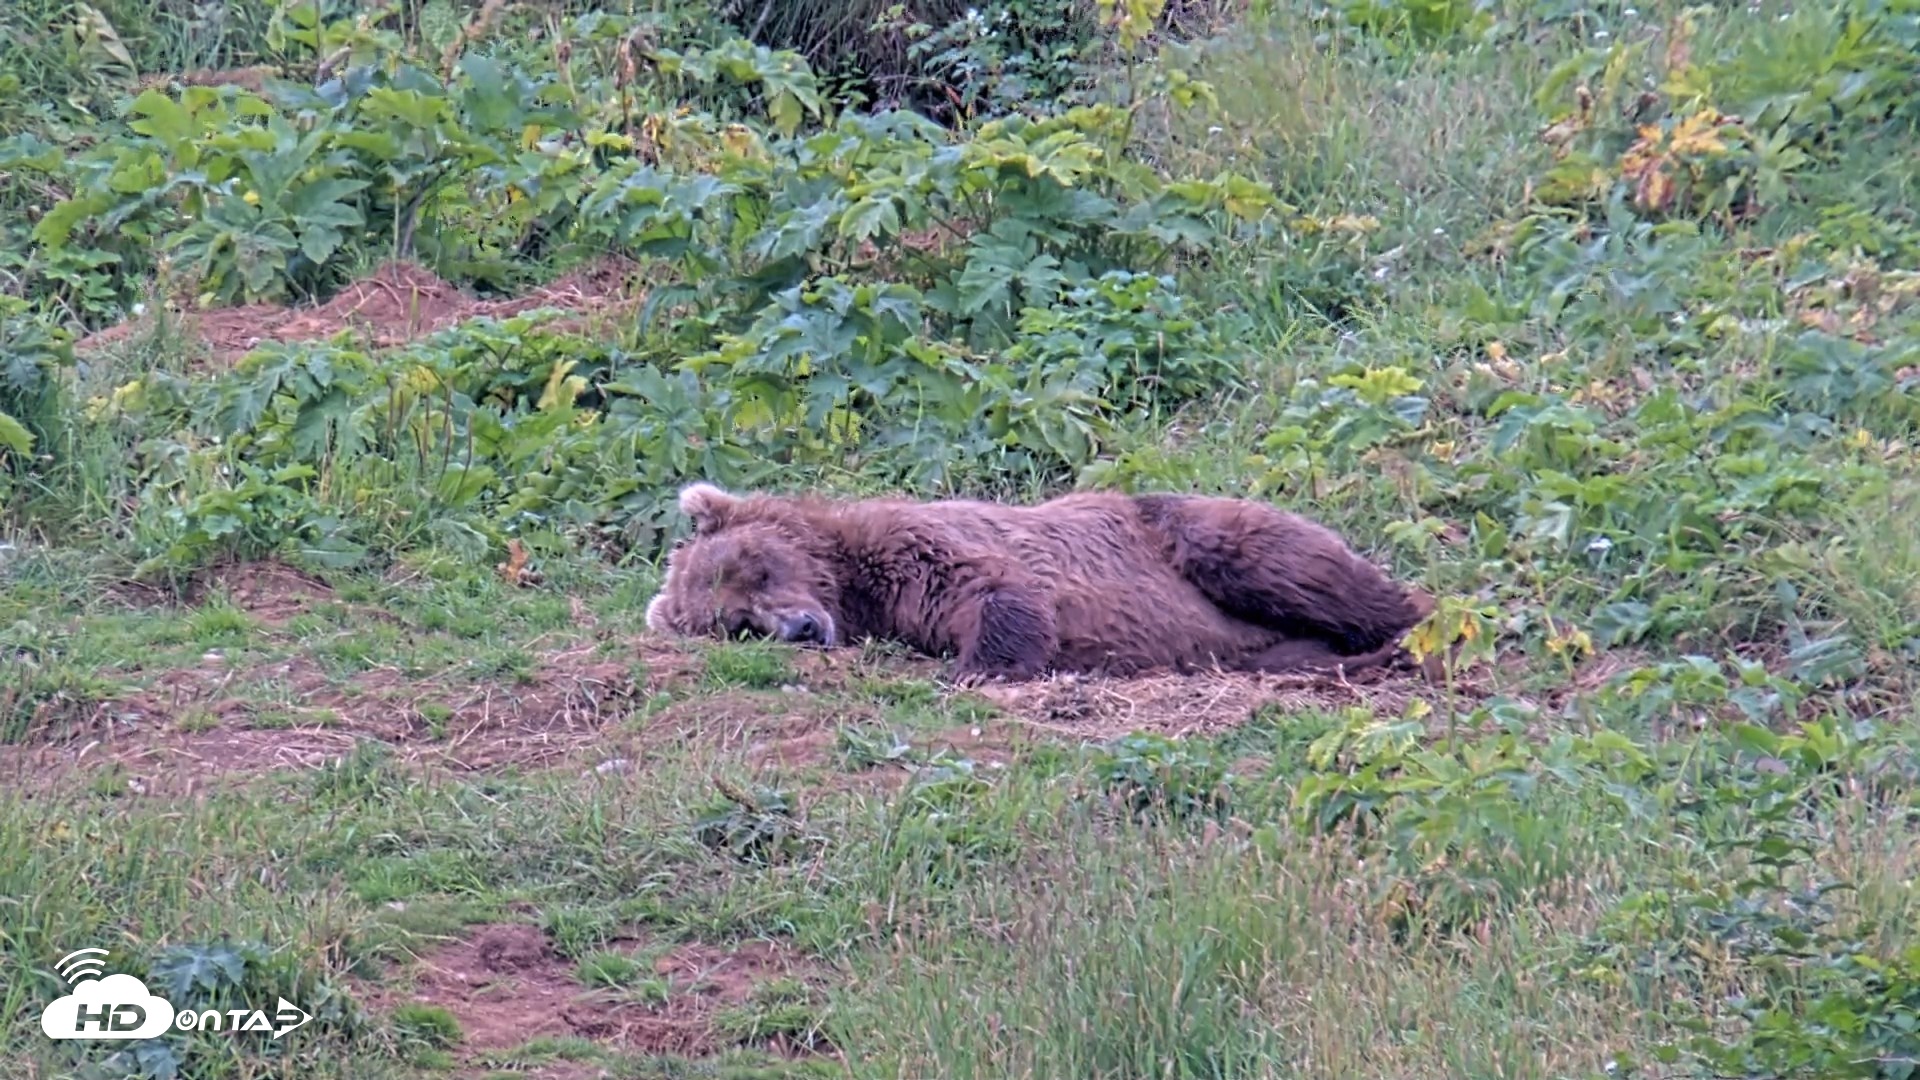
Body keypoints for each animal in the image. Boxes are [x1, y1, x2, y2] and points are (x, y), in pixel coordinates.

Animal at [644, 482, 1435, 684]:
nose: (803, 628)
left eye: (760, 566)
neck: (853, 585)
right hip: (1246, 646)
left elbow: (993, 587)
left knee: (1273, 559)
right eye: (739, 623)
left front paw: (978, 669)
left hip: (1179, 530)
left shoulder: (917, 547)